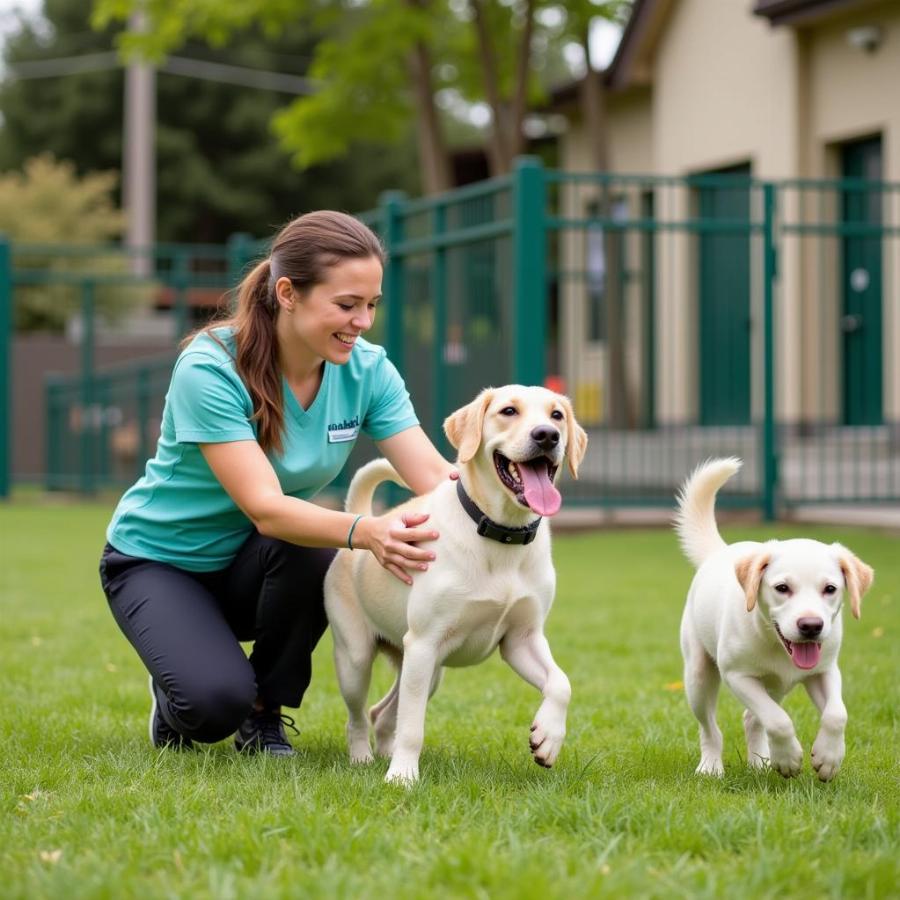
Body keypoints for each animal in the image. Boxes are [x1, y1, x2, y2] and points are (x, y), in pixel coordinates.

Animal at [326, 384, 588, 784]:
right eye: (508, 411)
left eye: (556, 415)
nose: (547, 435)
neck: (502, 536)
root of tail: (364, 516)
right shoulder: (424, 642)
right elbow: (413, 727)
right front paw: (402, 777)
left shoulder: (522, 639)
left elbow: (561, 683)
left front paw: (548, 737)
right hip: (358, 659)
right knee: (358, 716)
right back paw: (362, 758)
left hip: (426, 669)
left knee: (383, 714)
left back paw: (384, 752)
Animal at [680, 458, 876, 780]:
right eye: (782, 588)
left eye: (830, 589)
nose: (811, 626)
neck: (771, 639)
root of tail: (721, 552)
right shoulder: (738, 675)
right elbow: (778, 720)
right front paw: (788, 759)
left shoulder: (825, 670)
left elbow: (837, 714)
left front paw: (828, 757)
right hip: (698, 676)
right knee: (711, 728)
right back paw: (711, 766)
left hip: (774, 686)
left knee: (751, 718)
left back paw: (760, 762)